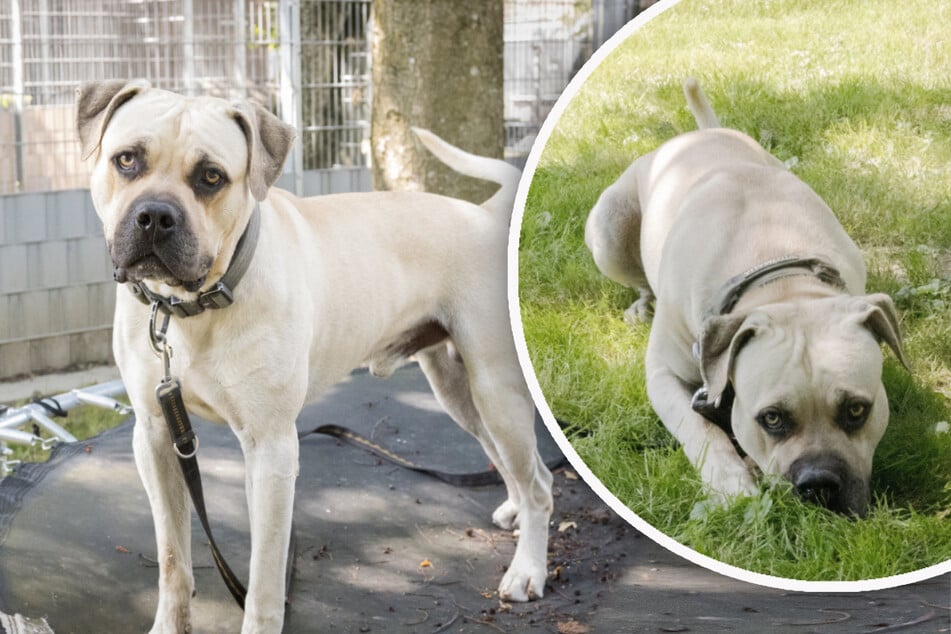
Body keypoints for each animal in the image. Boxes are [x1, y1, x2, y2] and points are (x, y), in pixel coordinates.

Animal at [78, 81, 556, 628]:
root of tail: (484, 214)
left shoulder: (271, 449)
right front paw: (168, 624)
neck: (193, 307)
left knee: (540, 481)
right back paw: (515, 512)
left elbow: (264, 577)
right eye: (127, 159)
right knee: (508, 460)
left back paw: (528, 570)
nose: (155, 216)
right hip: (460, 391)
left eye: (211, 176)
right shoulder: (156, 438)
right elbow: (173, 558)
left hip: (496, 388)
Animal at [588, 78, 908, 512]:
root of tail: (701, 133)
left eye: (857, 410)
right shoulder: (663, 375)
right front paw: (731, 482)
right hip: (610, 226)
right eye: (771, 418)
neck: (776, 276)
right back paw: (641, 305)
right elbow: (699, 428)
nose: (820, 484)